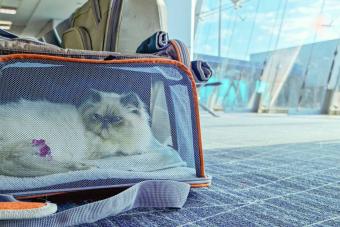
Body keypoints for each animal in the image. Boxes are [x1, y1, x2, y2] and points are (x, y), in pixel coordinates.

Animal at [0, 90, 153, 177]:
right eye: (97, 116)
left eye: (116, 119)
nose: (104, 122)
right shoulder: (101, 149)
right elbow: (117, 150)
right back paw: (82, 166)